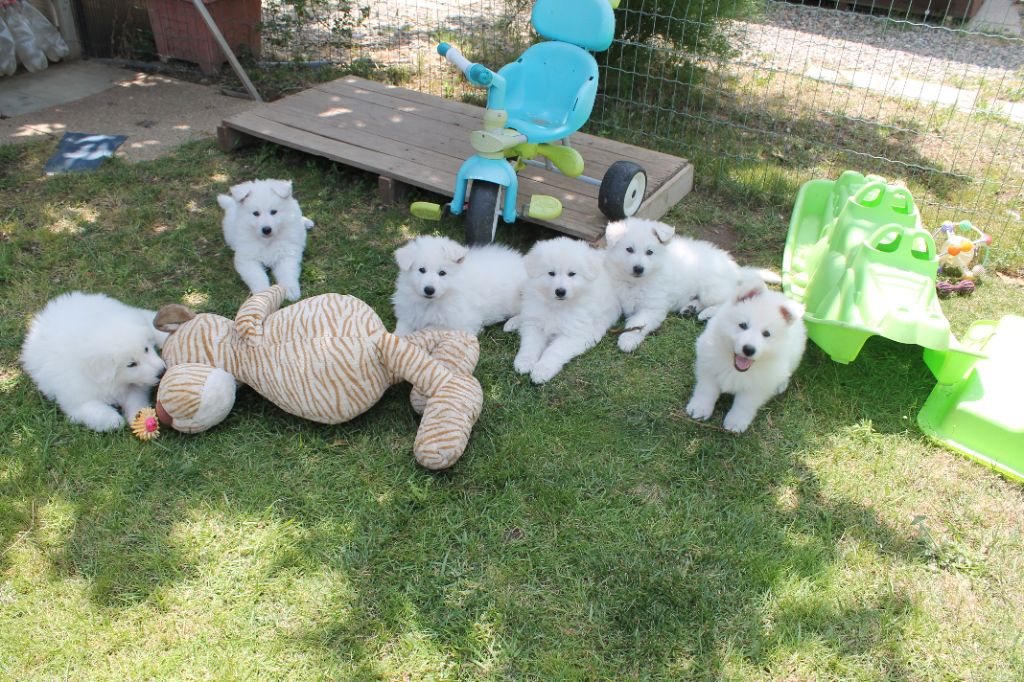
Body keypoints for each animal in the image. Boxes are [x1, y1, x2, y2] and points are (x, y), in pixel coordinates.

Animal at [20, 290, 168, 430]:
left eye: (146, 349)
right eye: (131, 364)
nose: (162, 372)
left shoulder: (135, 385)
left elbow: (135, 398)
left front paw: (137, 415)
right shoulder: (76, 400)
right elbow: (94, 409)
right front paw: (114, 420)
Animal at [387, 233, 524, 333]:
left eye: (442, 273)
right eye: (422, 270)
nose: (429, 290)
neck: (430, 303)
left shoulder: (460, 324)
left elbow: (430, 329)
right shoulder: (407, 315)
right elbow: (401, 331)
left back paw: (511, 324)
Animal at [503, 236, 614, 382]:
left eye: (572, 274)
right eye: (551, 273)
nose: (560, 291)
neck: (558, 307)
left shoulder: (573, 334)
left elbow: (553, 351)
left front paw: (542, 370)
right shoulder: (534, 325)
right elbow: (530, 345)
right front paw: (524, 362)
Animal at [602, 215, 778, 350]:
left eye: (649, 252)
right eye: (629, 249)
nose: (638, 268)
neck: (637, 282)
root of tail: (734, 269)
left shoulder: (652, 307)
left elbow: (637, 323)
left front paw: (627, 340)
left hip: (711, 289)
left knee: (729, 300)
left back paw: (707, 313)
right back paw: (690, 308)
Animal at [684, 280, 802, 430]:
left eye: (766, 334)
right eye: (743, 325)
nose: (749, 349)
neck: (734, 367)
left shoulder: (757, 387)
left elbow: (744, 404)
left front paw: (736, 421)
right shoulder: (709, 367)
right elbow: (706, 390)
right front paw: (700, 408)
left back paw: (781, 384)